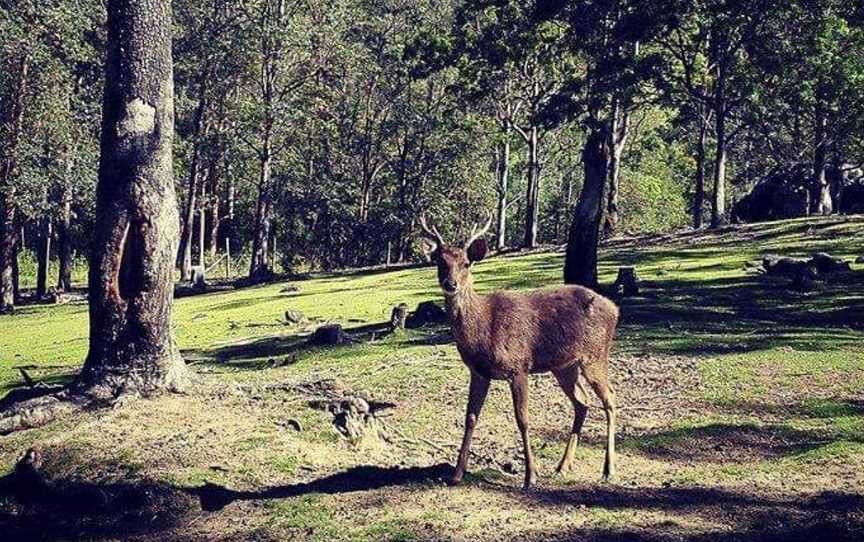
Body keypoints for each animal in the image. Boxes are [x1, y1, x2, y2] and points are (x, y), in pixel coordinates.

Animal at [420, 215, 616, 490]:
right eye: (440, 262)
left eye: (466, 263)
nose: (451, 284)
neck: (483, 329)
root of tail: (615, 309)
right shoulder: (478, 372)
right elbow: (470, 417)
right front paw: (457, 474)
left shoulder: (519, 366)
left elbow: (522, 418)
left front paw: (530, 476)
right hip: (565, 366)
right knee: (582, 401)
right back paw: (562, 466)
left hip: (595, 355)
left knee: (610, 399)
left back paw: (609, 469)